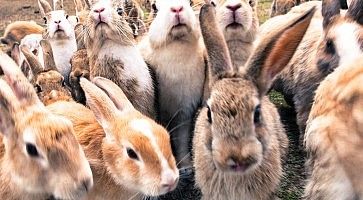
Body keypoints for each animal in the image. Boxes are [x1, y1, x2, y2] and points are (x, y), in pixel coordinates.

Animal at [139, 0, 208, 171]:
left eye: (189, 2)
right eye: (154, 7)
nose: (177, 8)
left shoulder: (183, 114)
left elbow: (181, 141)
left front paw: (186, 165)